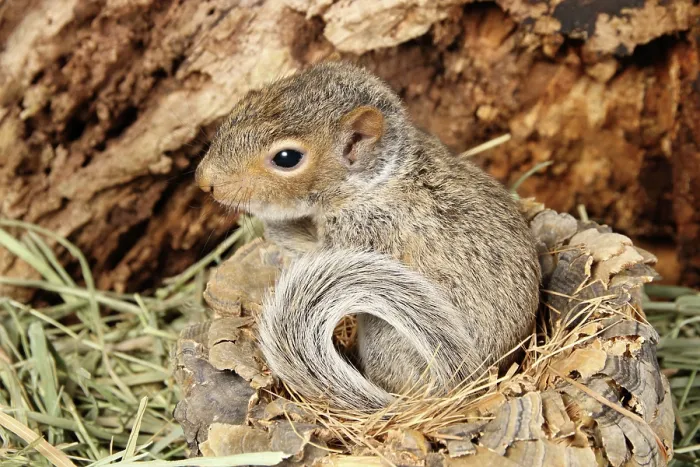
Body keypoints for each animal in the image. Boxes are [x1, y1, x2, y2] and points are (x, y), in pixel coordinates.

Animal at [195, 61, 541, 412]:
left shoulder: (368, 231)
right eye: (248, 99)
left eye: (287, 158)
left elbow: (313, 248)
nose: (204, 182)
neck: (374, 180)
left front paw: (273, 224)